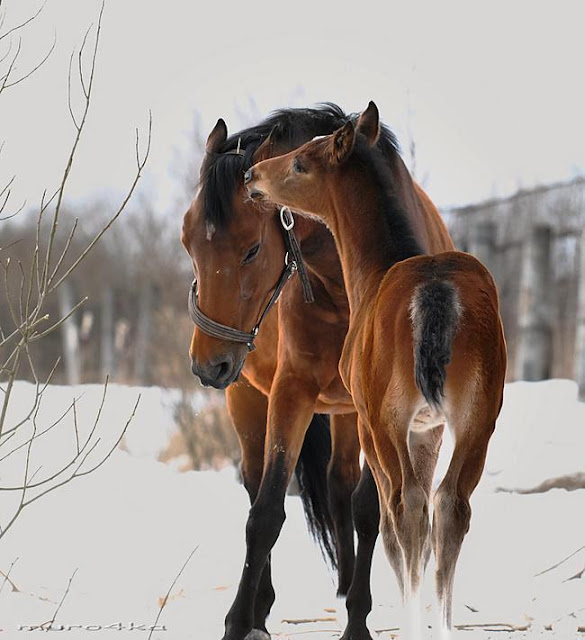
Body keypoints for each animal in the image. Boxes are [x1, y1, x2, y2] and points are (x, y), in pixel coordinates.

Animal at [180, 102, 454, 636]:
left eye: (251, 249)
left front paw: (357, 620)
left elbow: (369, 508)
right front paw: (239, 621)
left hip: (345, 413)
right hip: (247, 395)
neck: (346, 287)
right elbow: (265, 511)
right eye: (187, 241)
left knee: (341, 483)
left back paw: (347, 586)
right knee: (254, 480)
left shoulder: (382, 411)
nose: (207, 364)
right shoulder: (292, 392)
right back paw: (264, 603)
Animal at [246, 102, 506, 632]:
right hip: (478, 420)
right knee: (451, 506)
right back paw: (443, 625)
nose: (252, 176)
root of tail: (436, 293)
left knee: (405, 509)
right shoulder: (430, 428)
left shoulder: (370, 419)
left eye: (300, 162)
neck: (374, 269)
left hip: (387, 421)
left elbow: (380, 515)